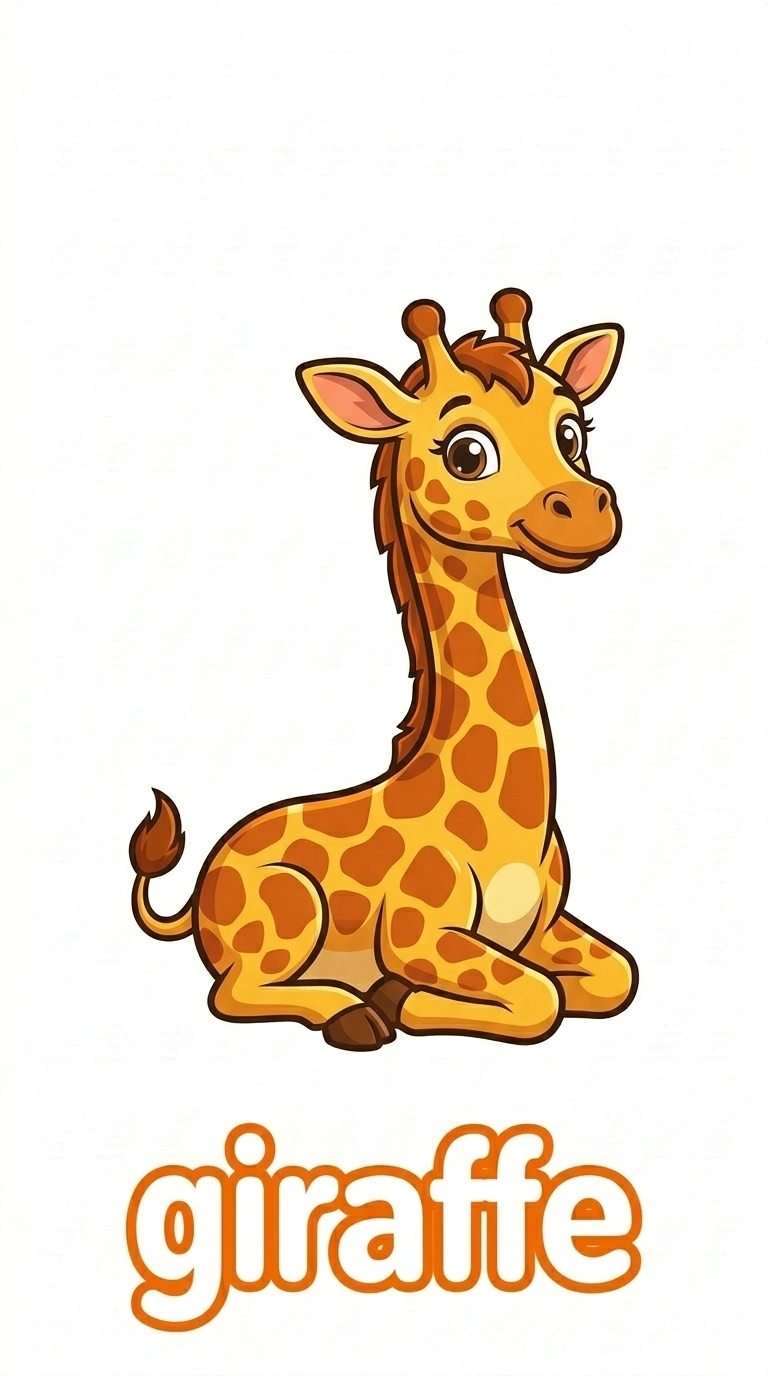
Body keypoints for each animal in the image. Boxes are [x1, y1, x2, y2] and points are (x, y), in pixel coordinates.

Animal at [129, 289, 638, 1051]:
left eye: (573, 432)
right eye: (466, 451)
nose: (583, 512)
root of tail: (196, 897)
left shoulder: (544, 927)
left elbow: (613, 977)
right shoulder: (417, 932)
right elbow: (539, 998)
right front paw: (402, 1000)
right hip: (290, 910)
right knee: (232, 992)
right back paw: (352, 1014)